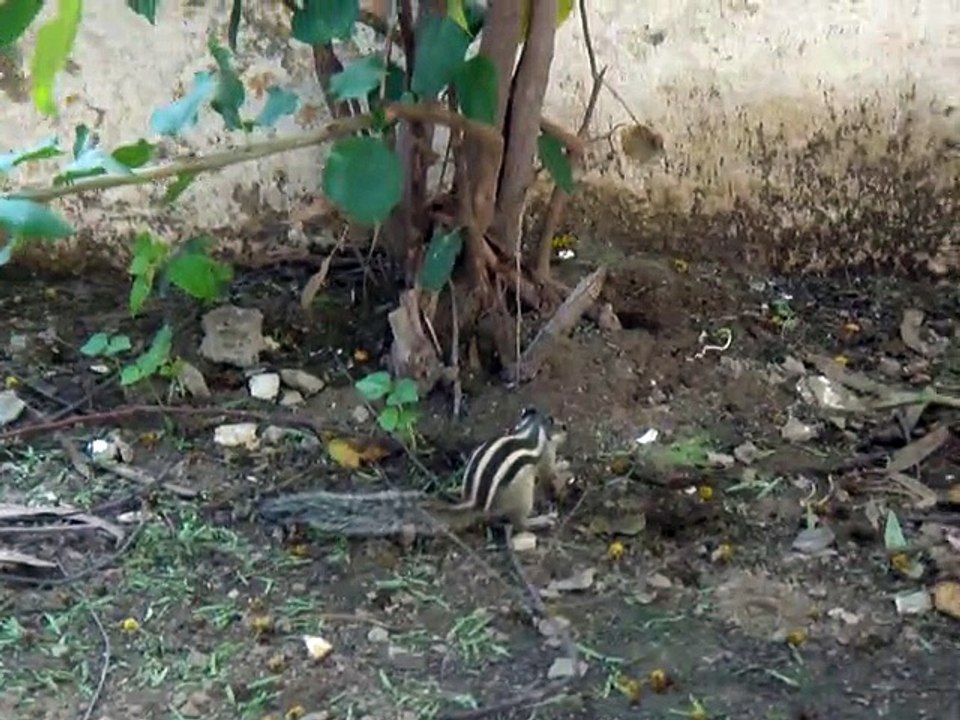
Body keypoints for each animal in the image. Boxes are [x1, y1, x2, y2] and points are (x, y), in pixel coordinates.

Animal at [257, 407, 572, 538]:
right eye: (562, 425)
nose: (567, 429)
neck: (530, 430)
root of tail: (476, 503)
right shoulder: (544, 454)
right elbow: (548, 470)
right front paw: (562, 469)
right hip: (522, 495)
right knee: (518, 523)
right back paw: (540, 520)